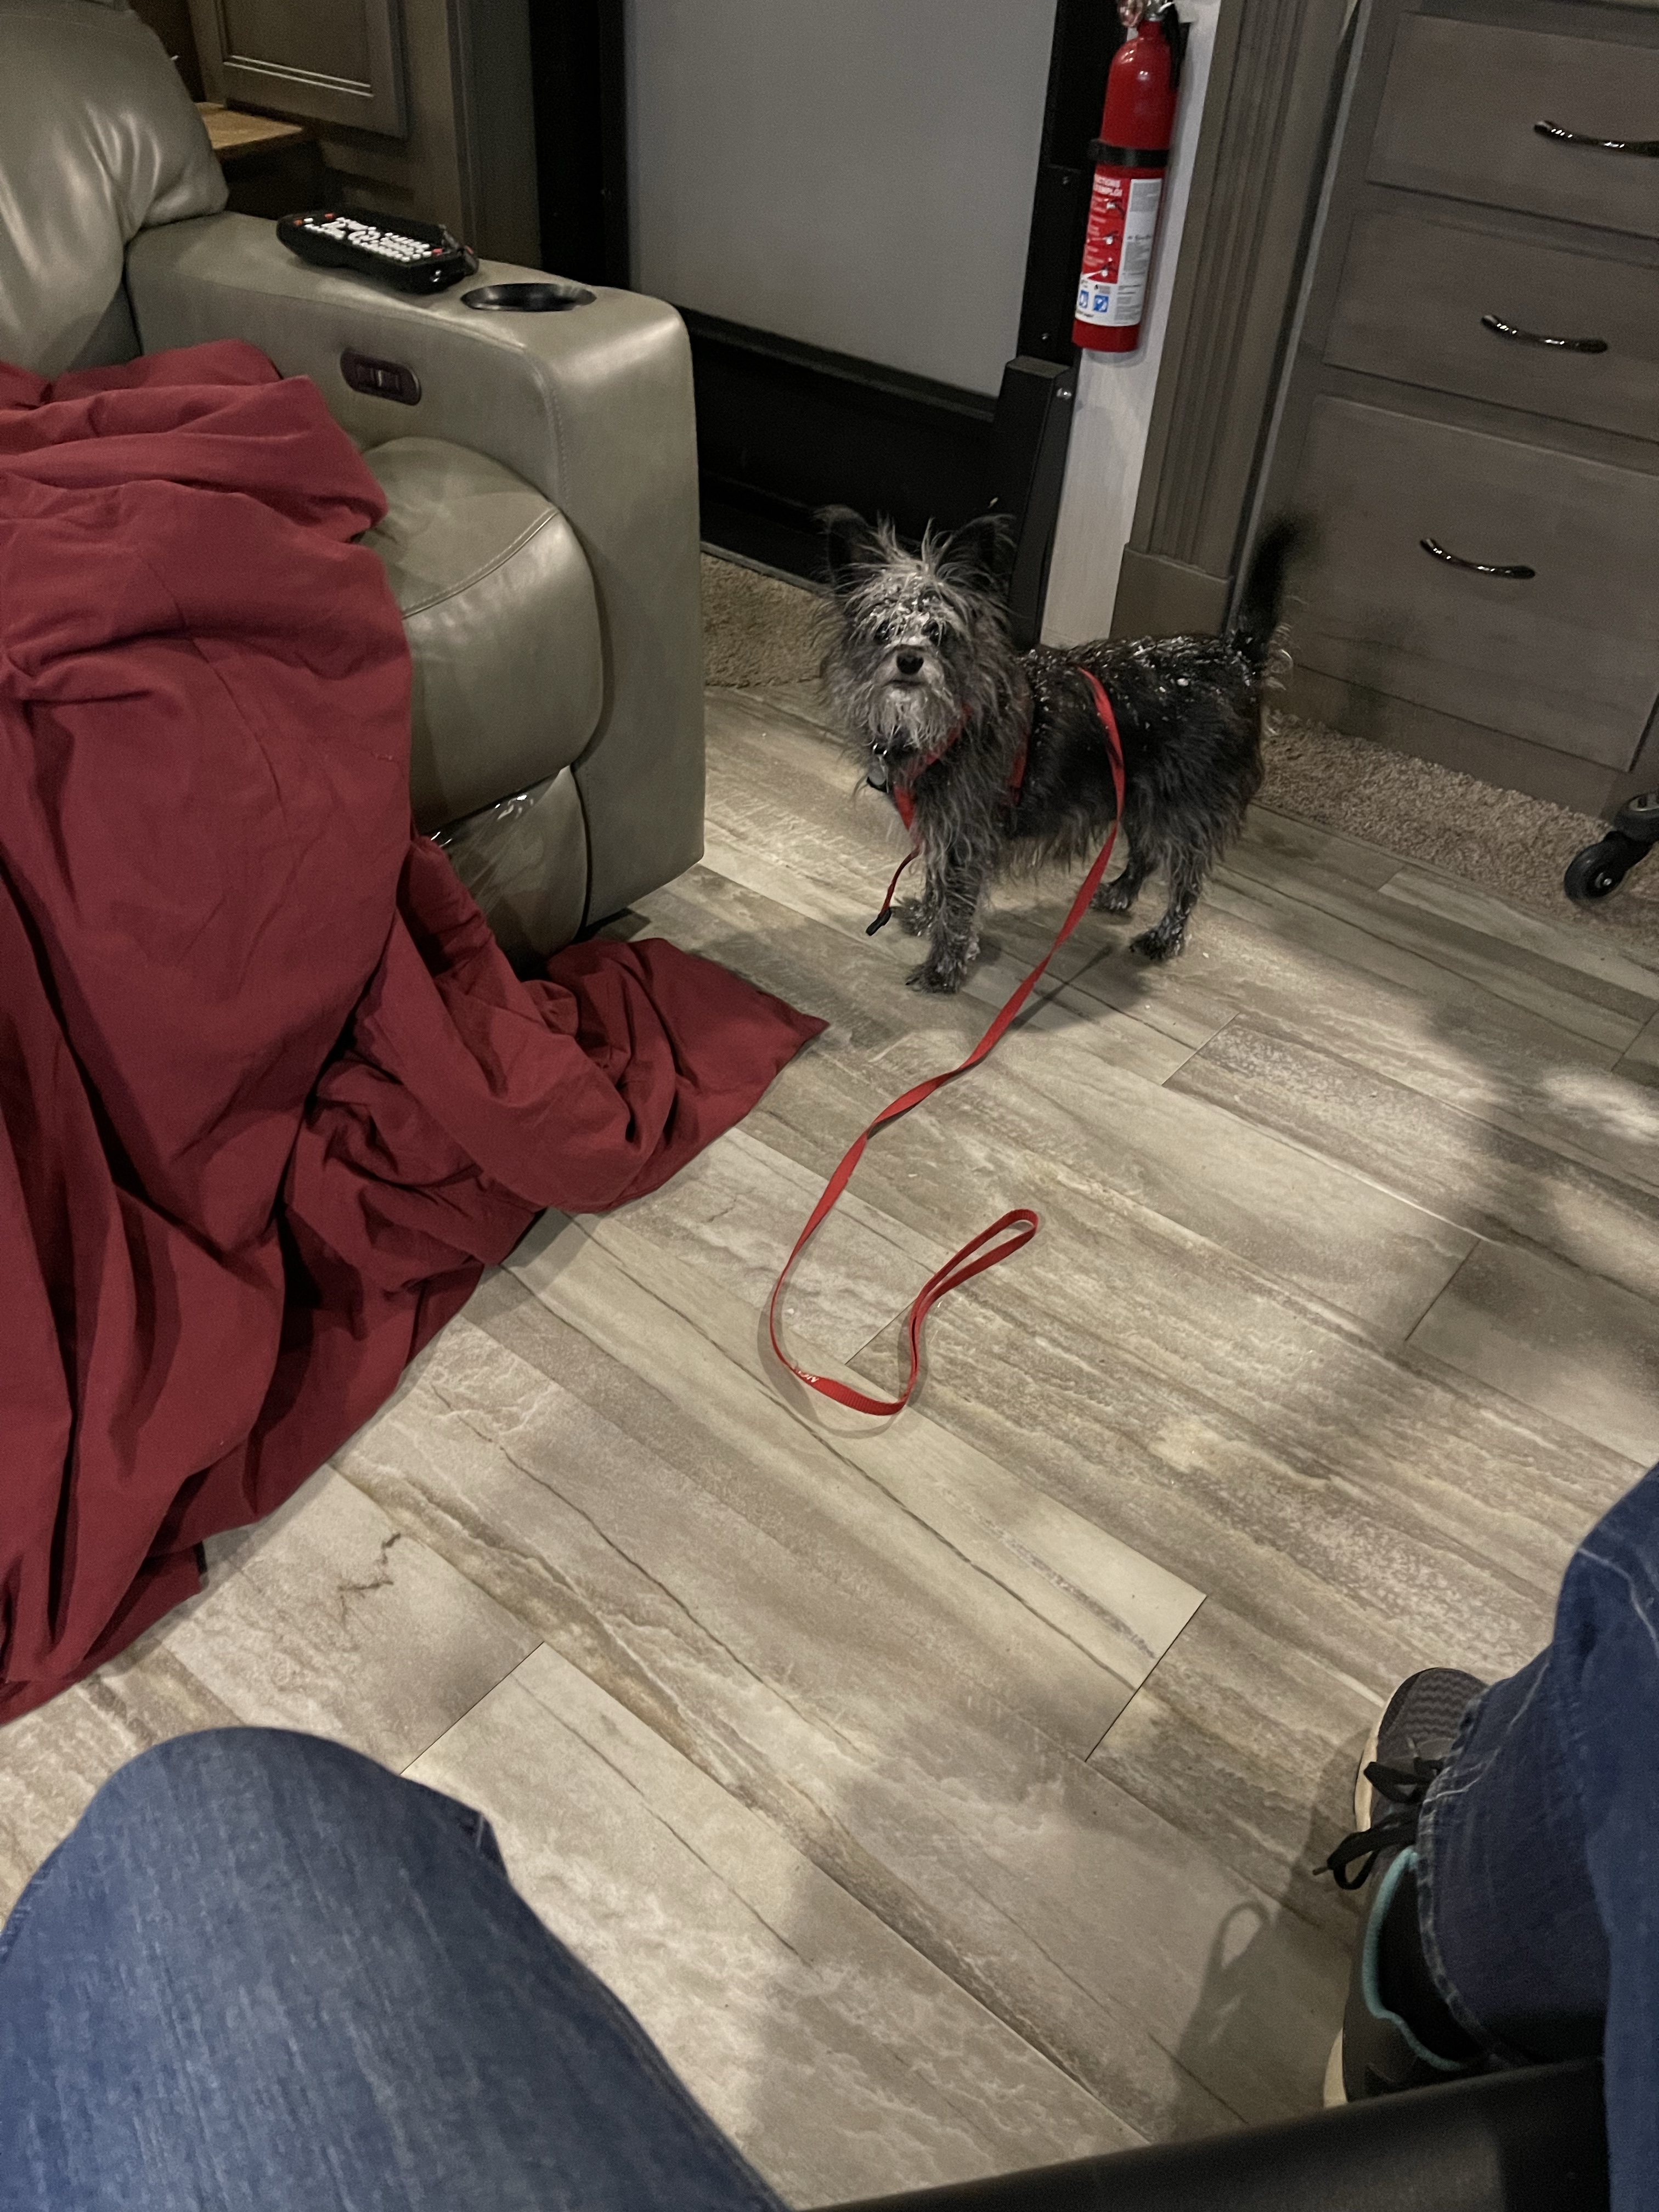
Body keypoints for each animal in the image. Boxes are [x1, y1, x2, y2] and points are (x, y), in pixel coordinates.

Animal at [821, 508, 1299, 991]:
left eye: (938, 633)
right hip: (1140, 795)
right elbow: (939, 885)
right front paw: (925, 916)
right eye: (884, 630)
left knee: (1187, 878)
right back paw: (1121, 891)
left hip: (1182, 810)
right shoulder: (941, 829)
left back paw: (1165, 937)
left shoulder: (966, 837)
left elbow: (957, 908)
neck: (945, 723)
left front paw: (944, 969)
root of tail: (1236, 658)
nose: (909, 659)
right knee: (1146, 852)